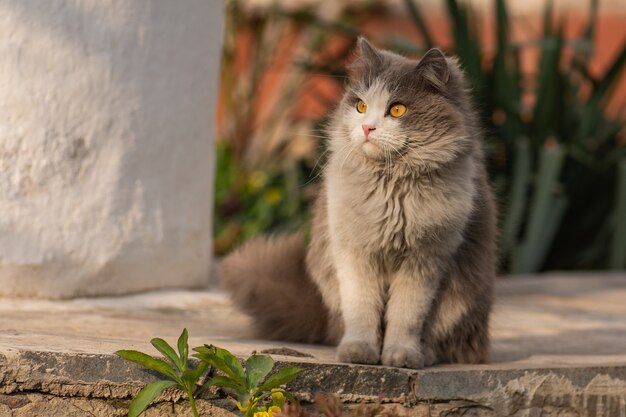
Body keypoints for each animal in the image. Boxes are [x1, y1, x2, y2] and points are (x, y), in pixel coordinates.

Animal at [222, 37, 494, 366]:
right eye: (361, 106)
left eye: (397, 109)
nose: (367, 128)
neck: (392, 189)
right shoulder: (355, 253)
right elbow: (362, 309)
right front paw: (359, 352)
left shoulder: (424, 260)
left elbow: (406, 315)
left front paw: (401, 355)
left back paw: (425, 354)